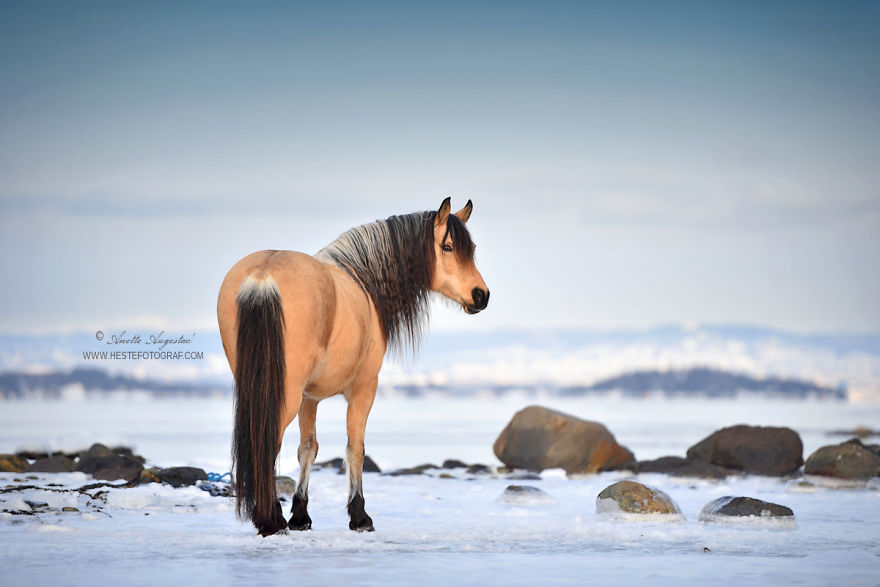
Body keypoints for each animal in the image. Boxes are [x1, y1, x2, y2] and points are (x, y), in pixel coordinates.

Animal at [216, 198, 489, 536]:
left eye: (472, 247)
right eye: (448, 246)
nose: (481, 295)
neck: (364, 283)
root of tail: (262, 276)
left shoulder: (309, 397)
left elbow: (308, 448)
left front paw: (301, 515)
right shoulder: (364, 388)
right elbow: (355, 448)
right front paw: (359, 516)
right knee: (266, 443)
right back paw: (270, 520)